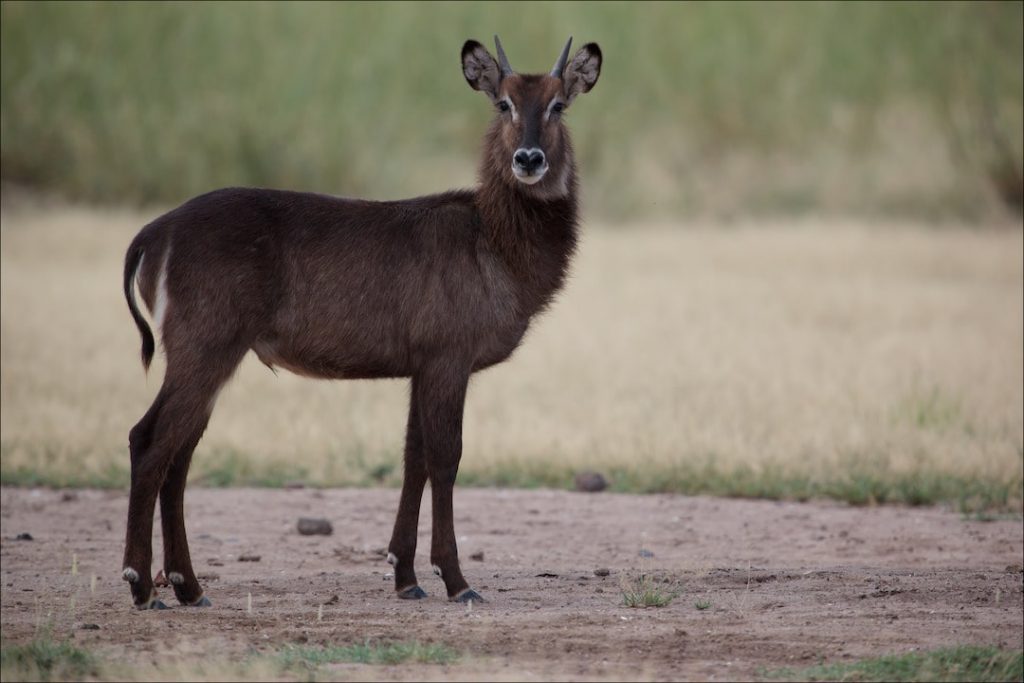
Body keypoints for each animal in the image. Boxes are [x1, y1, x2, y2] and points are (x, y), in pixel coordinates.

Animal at [121, 33, 598, 610]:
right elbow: (446, 457)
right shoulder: (449, 358)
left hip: (209, 358)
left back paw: (190, 588)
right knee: (148, 440)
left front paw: (405, 576)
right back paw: (142, 585)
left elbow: (413, 457)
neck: (493, 241)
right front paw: (458, 581)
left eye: (558, 104)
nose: (529, 158)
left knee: (180, 453)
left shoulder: (421, 367)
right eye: (503, 103)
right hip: (204, 347)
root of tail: (153, 233)